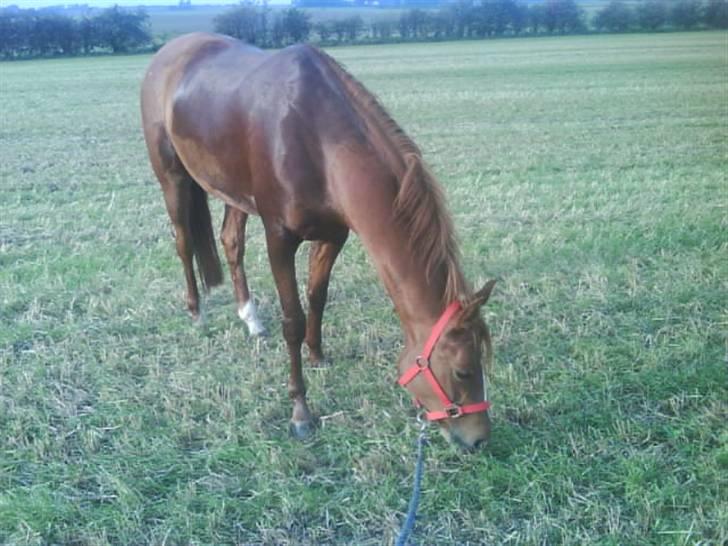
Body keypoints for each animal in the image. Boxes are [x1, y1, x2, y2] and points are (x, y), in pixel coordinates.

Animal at [141, 33, 496, 450]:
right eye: (462, 372)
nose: (479, 439)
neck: (316, 139)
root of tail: (170, 51)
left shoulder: (332, 235)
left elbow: (317, 298)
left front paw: (318, 355)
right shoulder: (279, 238)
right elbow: (293, 319)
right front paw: (300, 411)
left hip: (234, 192)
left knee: (231, 243)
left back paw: (250, 317)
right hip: (173, 179)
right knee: (183, 243)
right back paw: (197, 312)